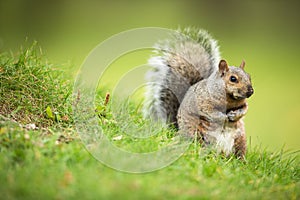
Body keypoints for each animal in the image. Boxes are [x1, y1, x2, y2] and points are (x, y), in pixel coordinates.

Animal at [143, 27, 253, 157]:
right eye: (233, 79)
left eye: (249, 76)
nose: (250, 91)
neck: (230, 99)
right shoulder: (203, 102)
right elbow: (211, 112)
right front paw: (224, 117)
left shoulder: (242, 103)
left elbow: (244, 109)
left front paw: (234, 114)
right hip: (198, 133)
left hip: (239, 139)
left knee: (238, 152)